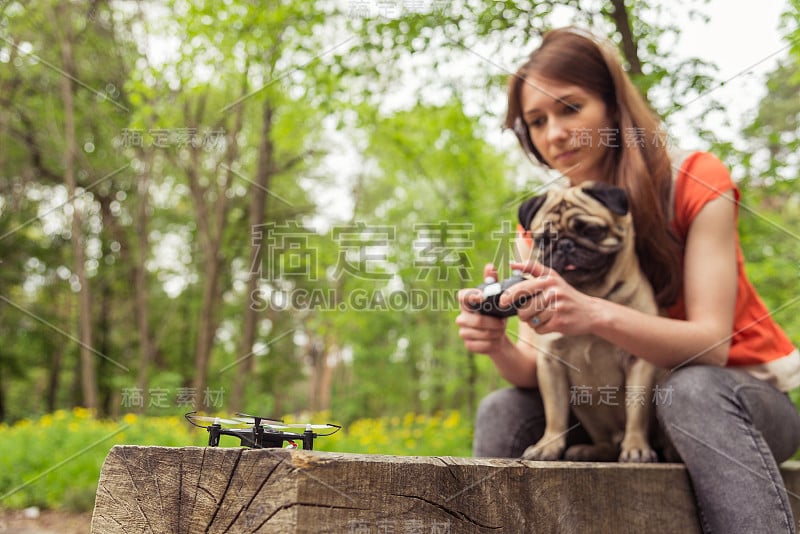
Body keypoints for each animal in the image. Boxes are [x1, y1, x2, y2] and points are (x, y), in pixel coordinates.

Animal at [520, 181, 664, 464]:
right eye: (544, 240)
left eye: (591, 230)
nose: (565, 245)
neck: (587, 294)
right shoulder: (550, 362)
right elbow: (554, 413)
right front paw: (548, 446)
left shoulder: (638, 361)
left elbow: (636, 412)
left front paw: (636, 447)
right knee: (605, 442)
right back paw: (590, 450)